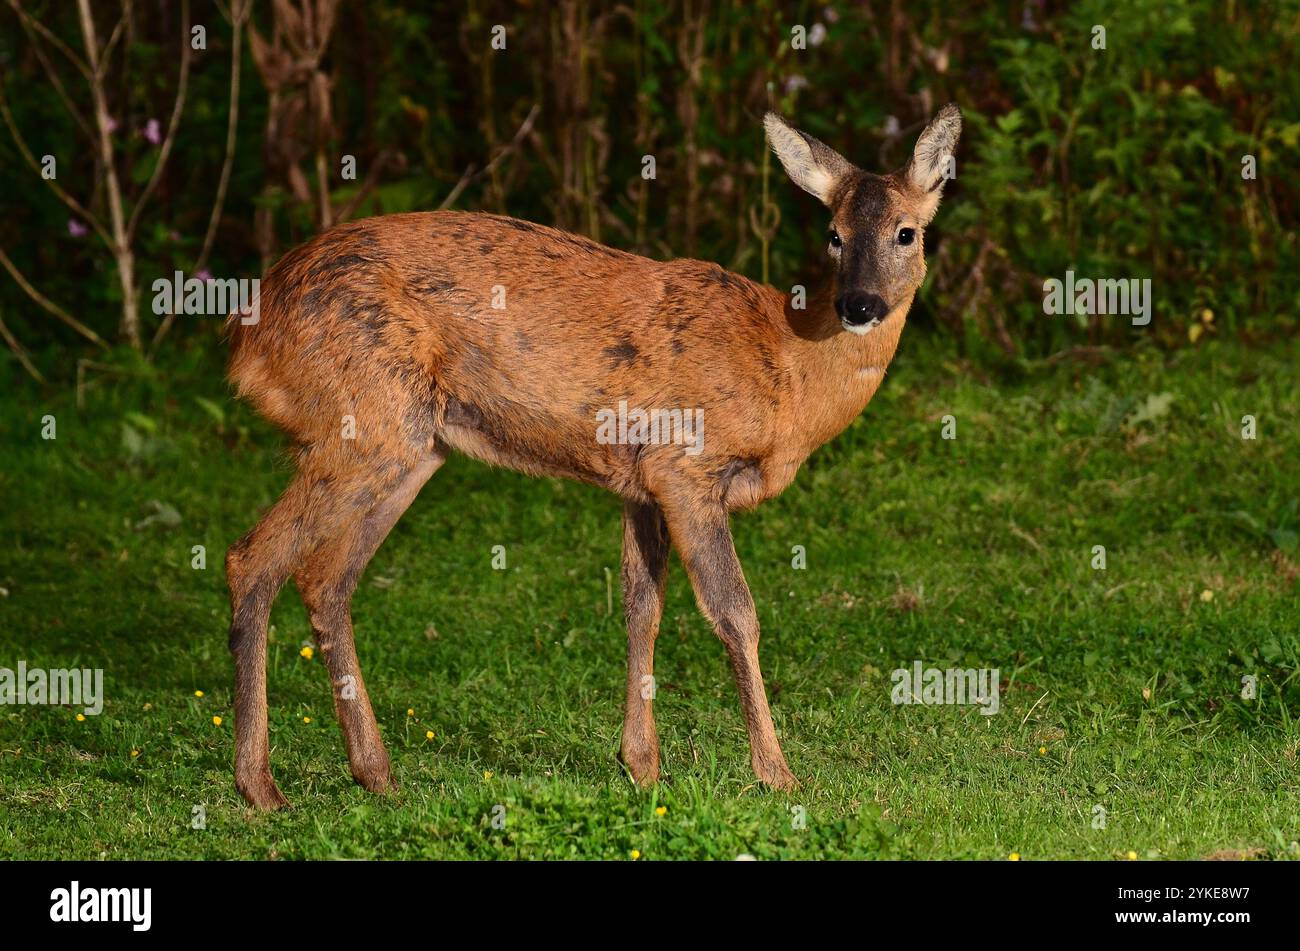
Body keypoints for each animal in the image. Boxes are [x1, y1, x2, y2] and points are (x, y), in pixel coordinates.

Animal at [225, 105, 962, 809]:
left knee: (326, 576)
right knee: (252, 557)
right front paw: (776, 774)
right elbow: (735, 613)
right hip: (365, 419)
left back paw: (375, 774)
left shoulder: (639, 483)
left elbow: (642, 607)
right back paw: (260, 785)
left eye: (906, 232)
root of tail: (250, 335)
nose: (859, 304)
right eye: (833, 234)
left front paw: (642, 765)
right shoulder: (685, 465)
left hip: (412, 444)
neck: (790, 371)